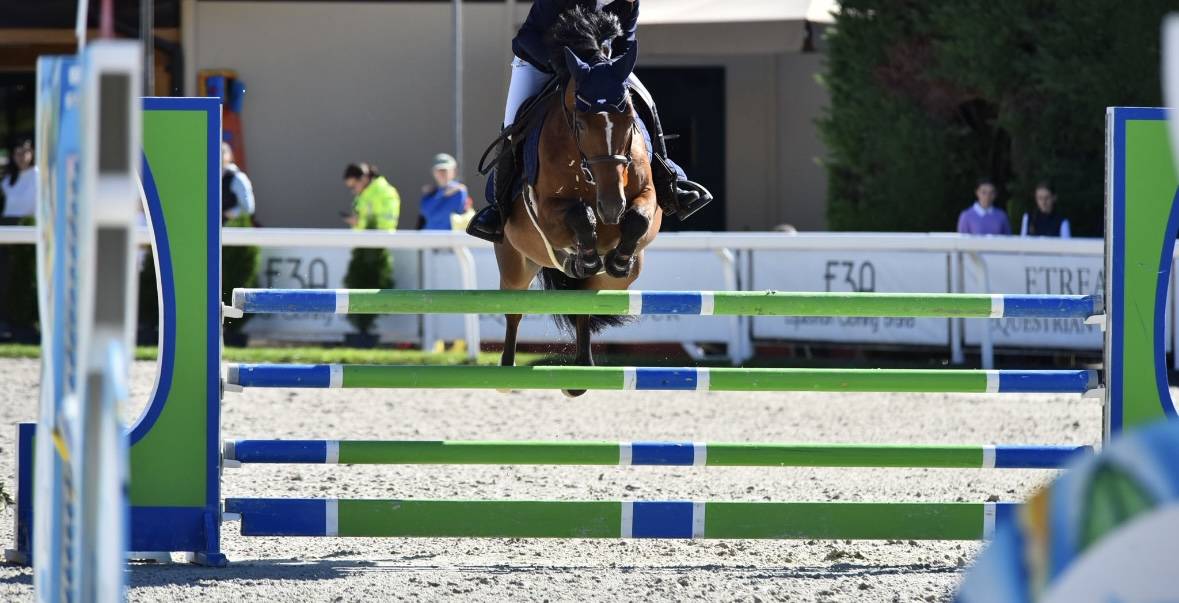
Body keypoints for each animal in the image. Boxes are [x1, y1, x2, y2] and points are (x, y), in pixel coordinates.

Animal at [494, 12, 661, 397]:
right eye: (581, 124)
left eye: (630, 119)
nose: (612, 206)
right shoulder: (545, 210)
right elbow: (579, 215)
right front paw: (584, 251)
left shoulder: (649, 199)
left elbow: (638, 219)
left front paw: (616, 256)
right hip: (514, 261)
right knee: (514, 309)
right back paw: (506, 374)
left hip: (619, 283)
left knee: (585, 303)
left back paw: (581, 372)